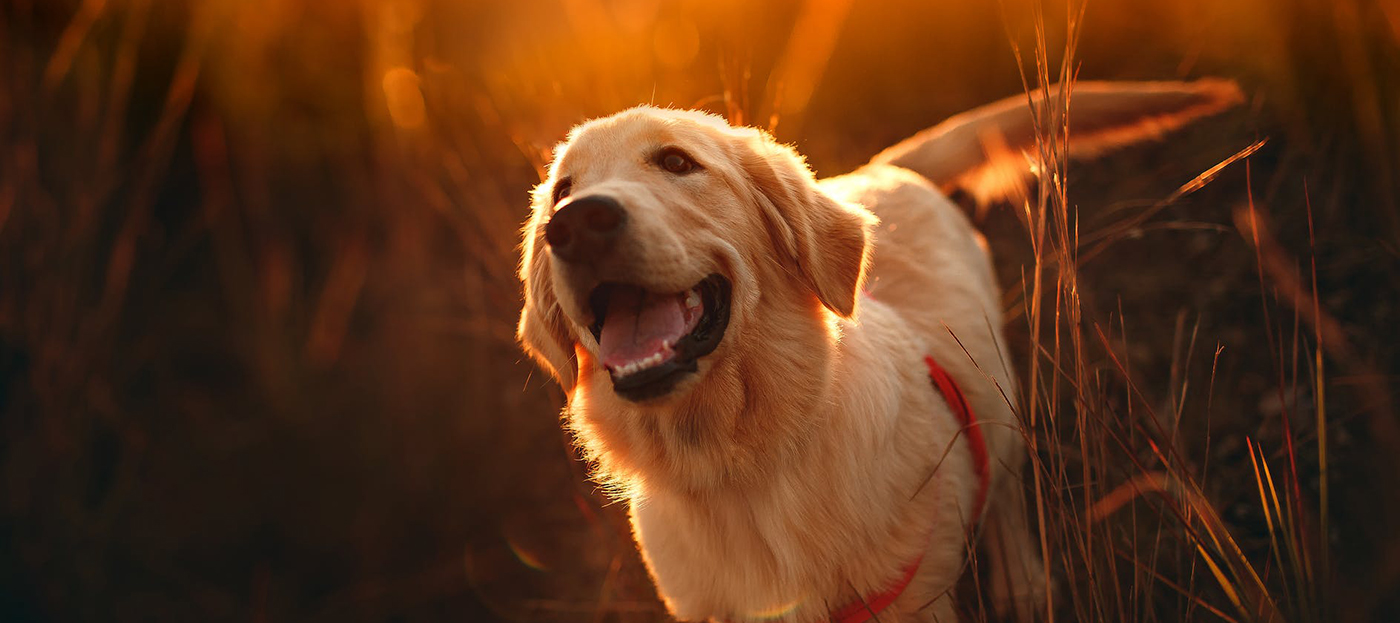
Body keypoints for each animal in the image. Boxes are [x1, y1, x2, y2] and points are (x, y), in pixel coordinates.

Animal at [520, 80, 1243, 618]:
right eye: (562, 189)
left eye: (676, 162)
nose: (575, 222)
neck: (739, 470)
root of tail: (881, 168)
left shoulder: (909, 596)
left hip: (998, 399)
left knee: (1006, 493)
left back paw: (1022, 582)